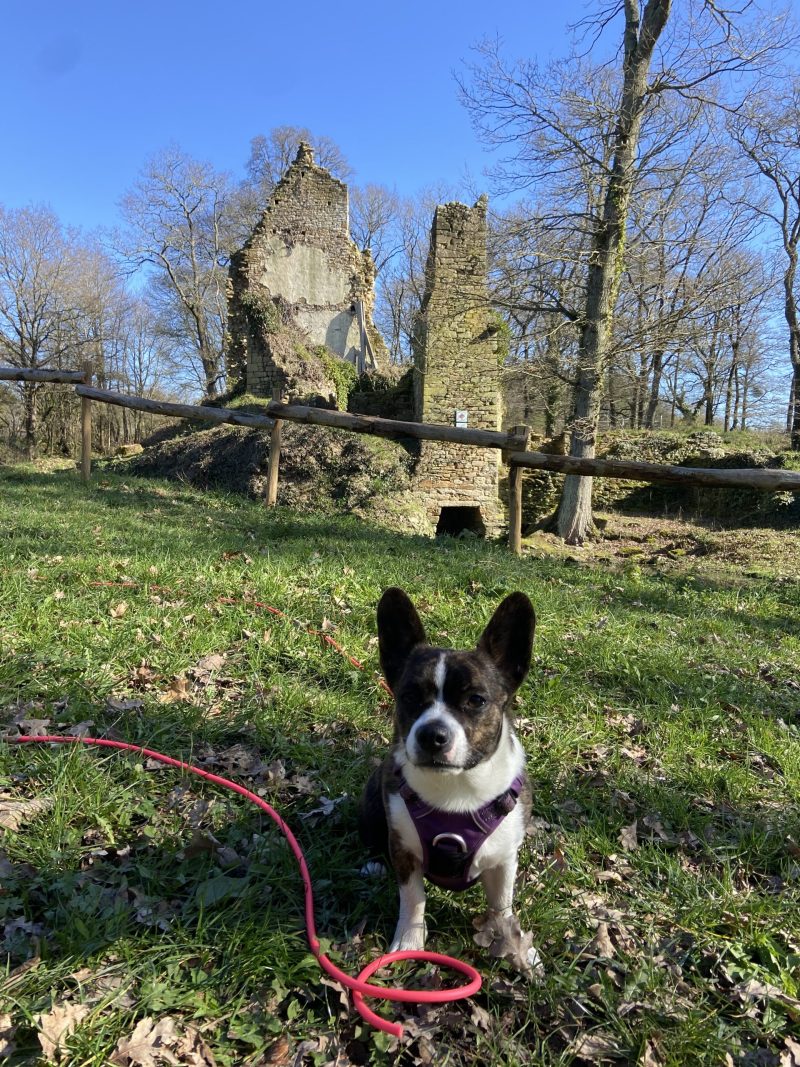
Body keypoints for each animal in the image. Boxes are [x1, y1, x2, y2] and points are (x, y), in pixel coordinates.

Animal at [362, 588, 539, 964]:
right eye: (409, 697)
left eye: (477, 700)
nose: (432, 734)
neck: (457, 787)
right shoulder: (404, 852)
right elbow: (413, 898)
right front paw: (410, 941)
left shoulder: (504, 860)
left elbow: (501, 905)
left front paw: (512, 943)